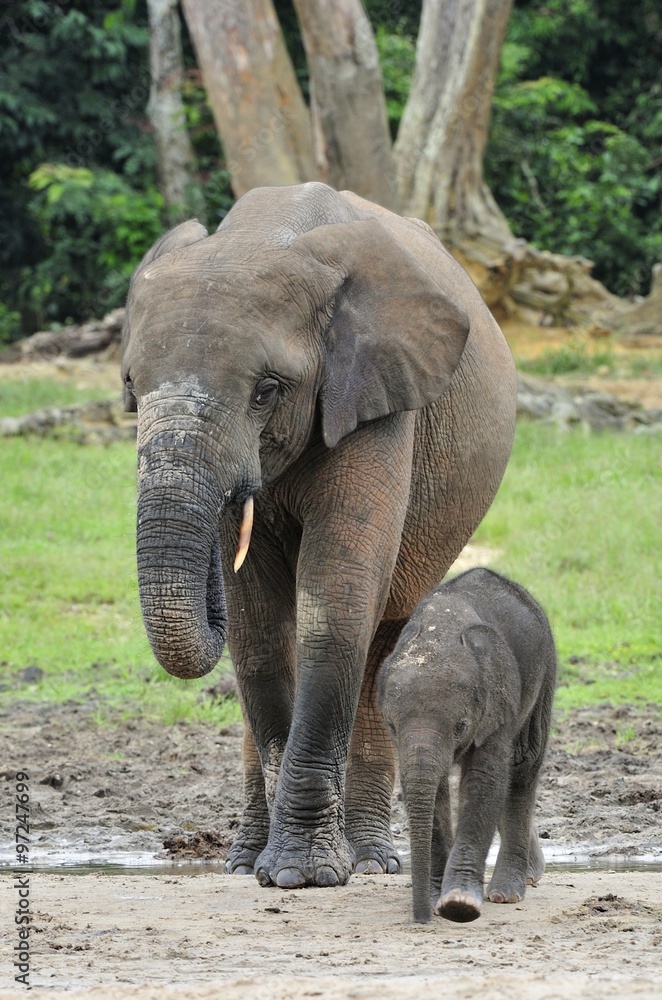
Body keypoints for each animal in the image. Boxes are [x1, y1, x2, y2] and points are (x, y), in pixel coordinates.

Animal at [121, 181, 517, 890]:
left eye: (266, 391)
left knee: (387, 631)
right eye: (130, 388)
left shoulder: (377, 393)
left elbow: (337, 595)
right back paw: (244, 856)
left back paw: (374, 861)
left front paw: (302, 874)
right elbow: (256, 626)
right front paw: (275, 866)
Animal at [378, 567, 556, 923]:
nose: (421, 919)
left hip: (545, 672)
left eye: (460, 726)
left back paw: (507, 893)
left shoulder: (497, 703)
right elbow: (434, 790)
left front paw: (458, 905)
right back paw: (530, 874)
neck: (440, 630)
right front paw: (437, 897)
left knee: (522, 767)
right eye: (390, 726)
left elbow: (483, 780)